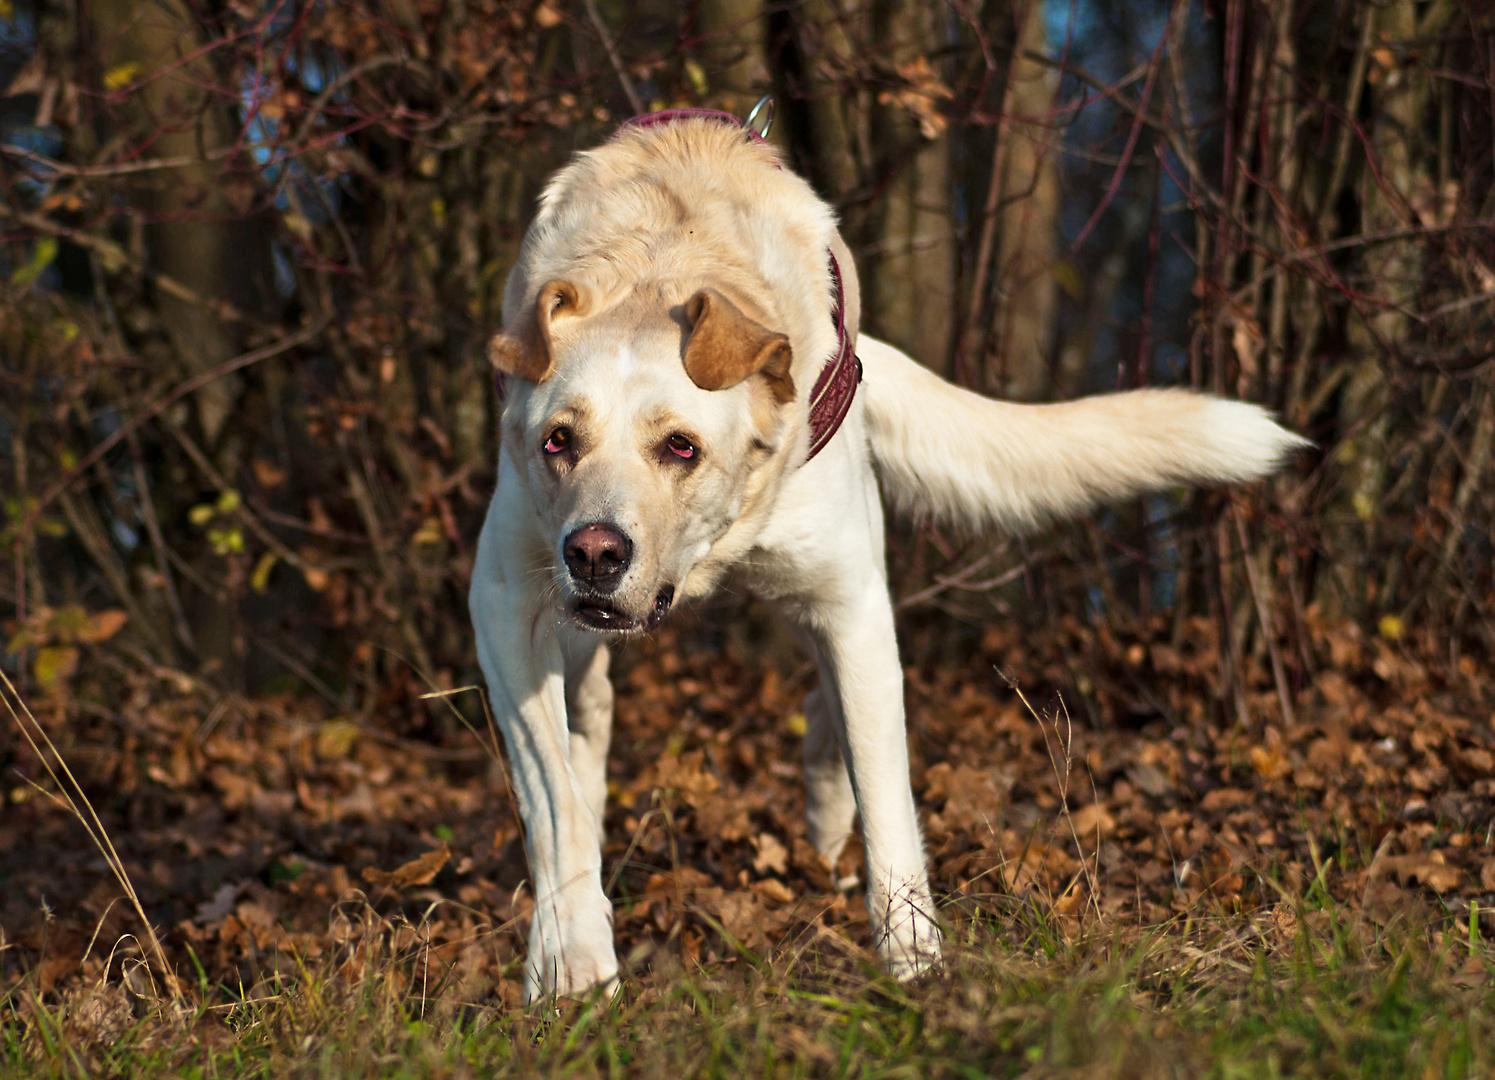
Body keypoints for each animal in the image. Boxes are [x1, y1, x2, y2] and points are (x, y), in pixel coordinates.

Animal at [469, 109, 1309, 993]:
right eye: (557, 441)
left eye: (680, 447)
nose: (594, 553)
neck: (661, 252)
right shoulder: (505, 604)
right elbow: (553, 797)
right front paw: (572, 959)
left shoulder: (851, 602)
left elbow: (887, 797)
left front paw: (912, 962)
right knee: (592, 721)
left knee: (826, 710)